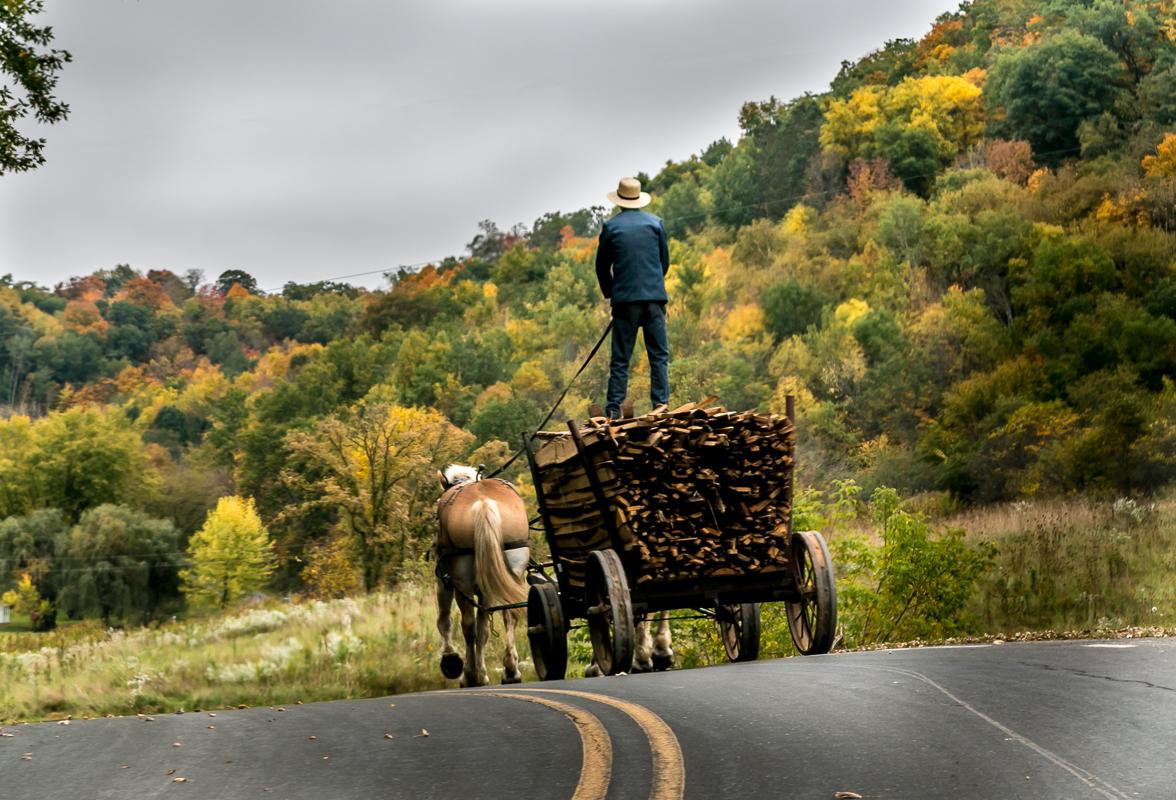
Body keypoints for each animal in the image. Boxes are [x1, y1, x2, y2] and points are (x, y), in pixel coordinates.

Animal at [432, 465, 529, 682]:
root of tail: (484, 502)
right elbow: (484, 628)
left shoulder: (444, 580)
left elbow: (444, 620)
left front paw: (450, 659)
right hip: (514, 568)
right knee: (509, 615)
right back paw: (511, 670)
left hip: (462, 579)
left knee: (467, 625)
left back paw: (469, 675)